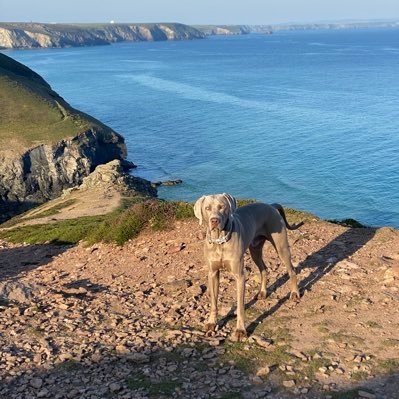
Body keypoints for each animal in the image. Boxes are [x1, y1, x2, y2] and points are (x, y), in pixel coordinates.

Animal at [195, 193, 304, 340]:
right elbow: (213, 302)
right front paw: (211, 323)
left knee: (291, 270)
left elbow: (240, 307)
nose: (214, 220)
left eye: (222, 207)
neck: (220, 241)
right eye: (207, 208)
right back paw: (262, 292)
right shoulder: (213, 273)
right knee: (264, 269)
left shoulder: (239, 276)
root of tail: (271, 205)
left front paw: (240, 331)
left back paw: (294, 293)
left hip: (281, 247)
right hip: (255, 249)